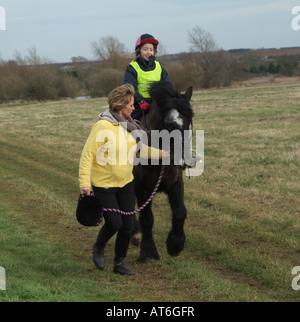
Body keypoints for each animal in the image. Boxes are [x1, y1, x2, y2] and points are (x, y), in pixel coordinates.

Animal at [132, 80, 193, 262]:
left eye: (189, 120)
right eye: (168, 124)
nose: (184, 159)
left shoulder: (175, 184)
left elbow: (180, 212)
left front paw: (175, 244)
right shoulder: (142, 188)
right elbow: (147, 218)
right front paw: (148, 250)